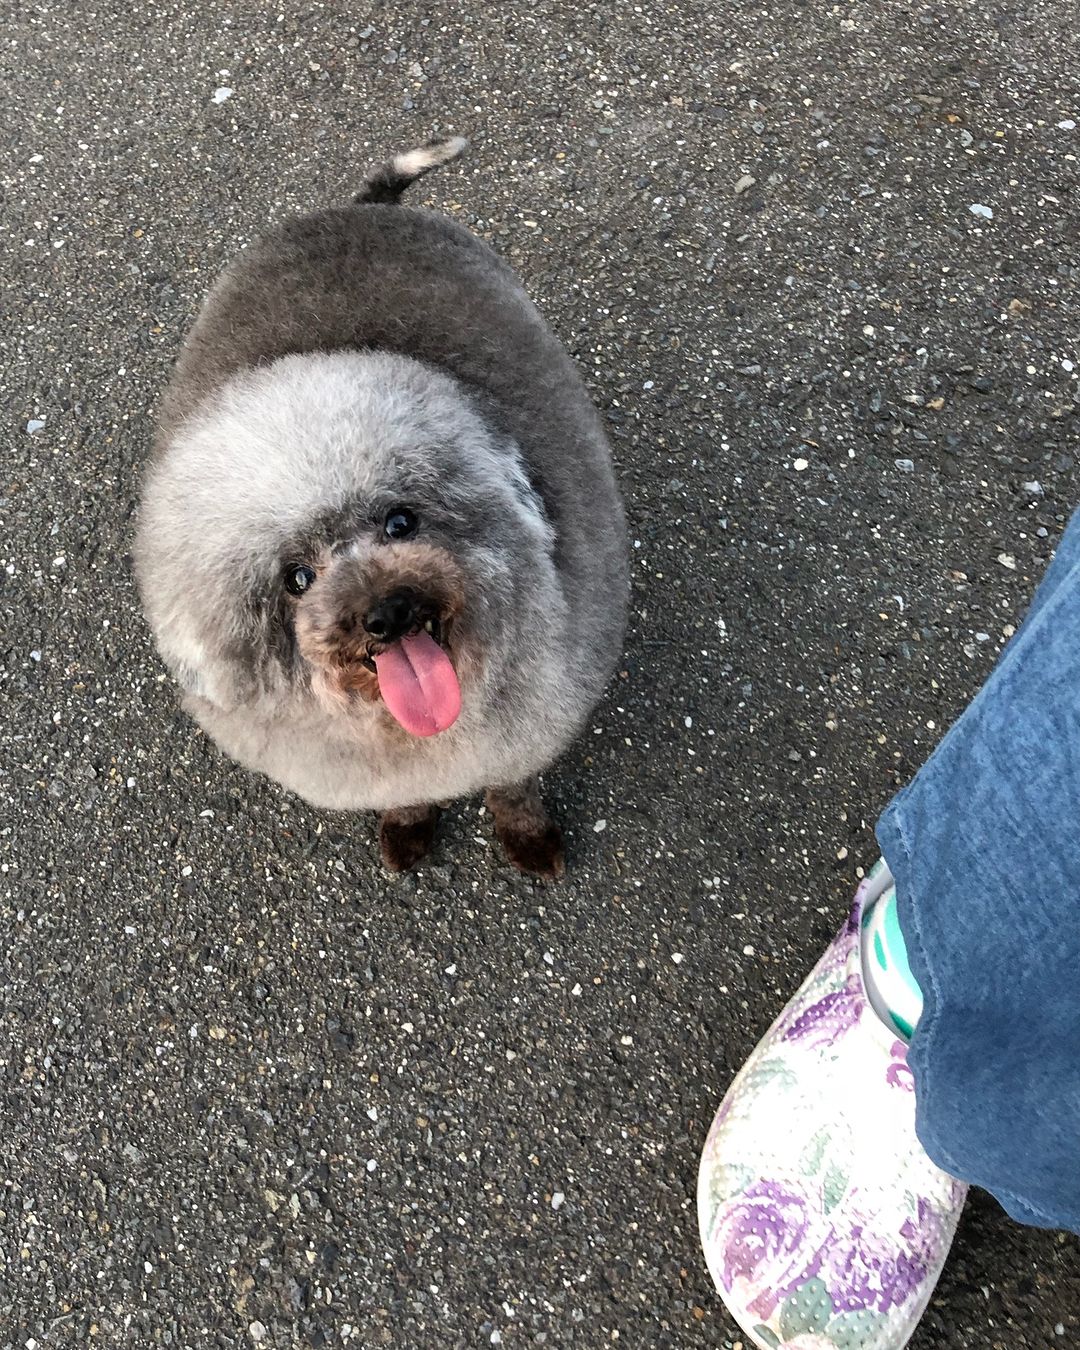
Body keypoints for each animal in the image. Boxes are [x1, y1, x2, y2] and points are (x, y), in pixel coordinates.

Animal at [136, 137, 629, 874]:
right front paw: (410, 825)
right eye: (295, 579)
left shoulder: (534, 715)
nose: (387, 613)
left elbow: (514, 788)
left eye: (401, 521)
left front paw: (526, 835)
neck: (421, 732)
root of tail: (362, 207)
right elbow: (408, 800)